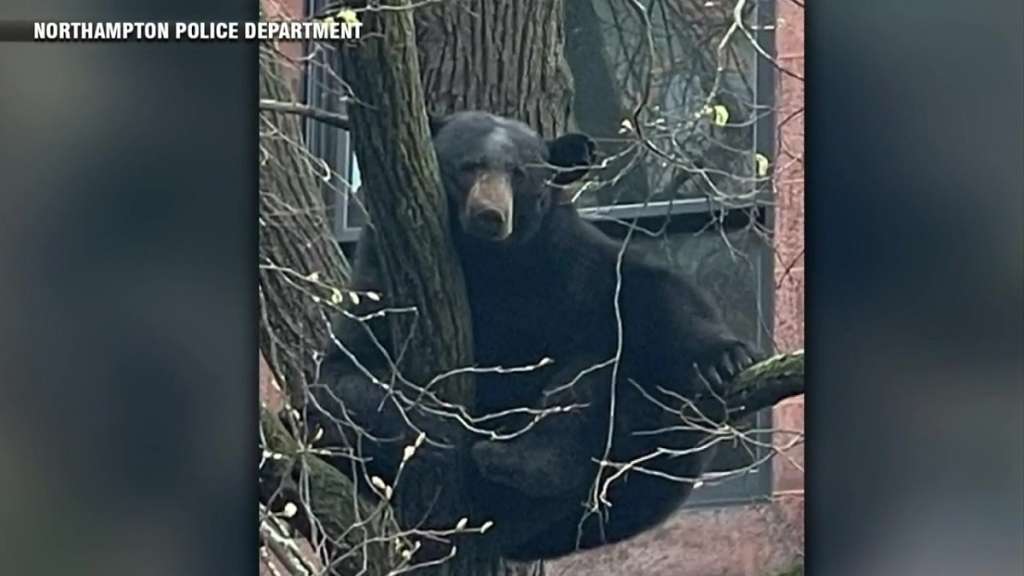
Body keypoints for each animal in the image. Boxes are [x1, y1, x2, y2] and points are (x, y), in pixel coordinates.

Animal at [306, 111, 758, 561]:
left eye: (519, 173)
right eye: (467, 167)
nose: (490, 215)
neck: (489, 261)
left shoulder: (562, 260)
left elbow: (646, 294)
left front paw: (724, 359)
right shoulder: (382, 274)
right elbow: (347, 373)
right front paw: (437, 424)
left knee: (603, 383)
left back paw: (518, 458)